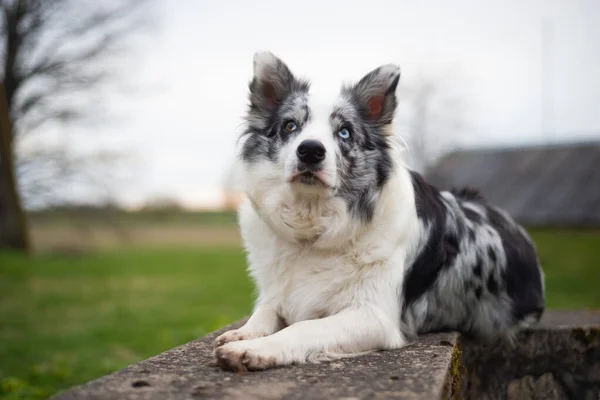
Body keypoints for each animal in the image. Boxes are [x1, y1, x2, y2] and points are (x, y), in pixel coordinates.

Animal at [213, 52, 548, 372]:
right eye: (290, 126)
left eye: (345, 133)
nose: (310, 151)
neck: (316, 224)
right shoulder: (279, 292)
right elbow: (265, 310)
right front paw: (245, 333)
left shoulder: (374, 317)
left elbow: (303, 328)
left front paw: (255, 349)